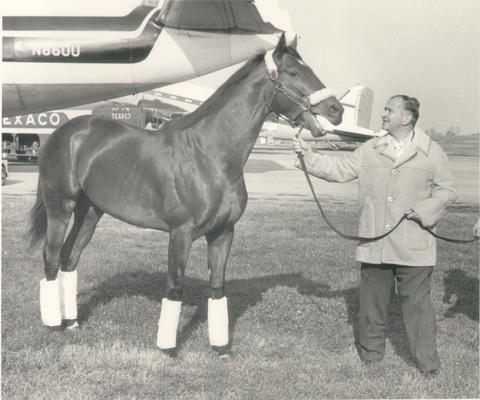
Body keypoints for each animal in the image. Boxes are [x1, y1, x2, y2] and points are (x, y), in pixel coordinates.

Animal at [27, 34, 342, 358]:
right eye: (293, 73)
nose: (336, 110)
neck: (210, 155)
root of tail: (64, 132)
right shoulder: (181, 233)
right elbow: (175, 287)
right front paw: (167, 349)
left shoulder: (223, 233)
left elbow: (217, 288)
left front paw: (221, 348)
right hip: (60, 207)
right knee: (51, 256)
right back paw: (53, 324)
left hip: (89, 212)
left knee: (70, 257)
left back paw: (72, 322)